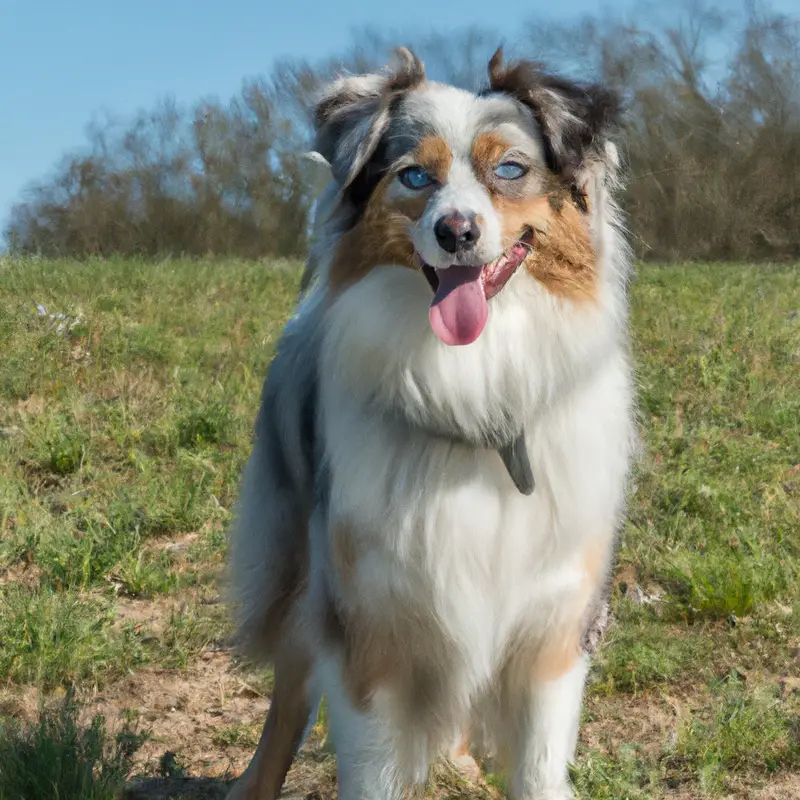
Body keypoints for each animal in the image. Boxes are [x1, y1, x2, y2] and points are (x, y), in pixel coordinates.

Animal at [227, 45, 636, 800]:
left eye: (511, 169)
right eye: (415, 175)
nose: (457, 231)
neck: (474, 394)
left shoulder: (554, 626)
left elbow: (538, 766)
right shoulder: (367, 628)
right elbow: (370, 764)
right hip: (302, 579)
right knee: (288, 703)